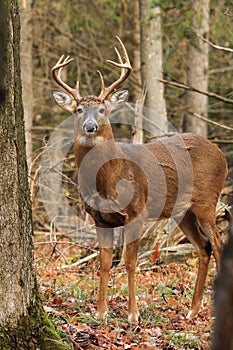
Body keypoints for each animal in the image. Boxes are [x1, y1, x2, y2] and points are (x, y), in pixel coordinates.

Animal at [51, 37, 228, 324]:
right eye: (78, 110)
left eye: (102, 110)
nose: (90, 127)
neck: (108, 181)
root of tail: (221, 153)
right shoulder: (99, 218)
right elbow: (104, 263)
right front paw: (101, 312)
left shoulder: (137, 211)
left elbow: (130, 262)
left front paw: (133, 314)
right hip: (183, 212)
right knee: (204, 248)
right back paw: (192, 309)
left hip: (206, 201)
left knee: (218, 245)